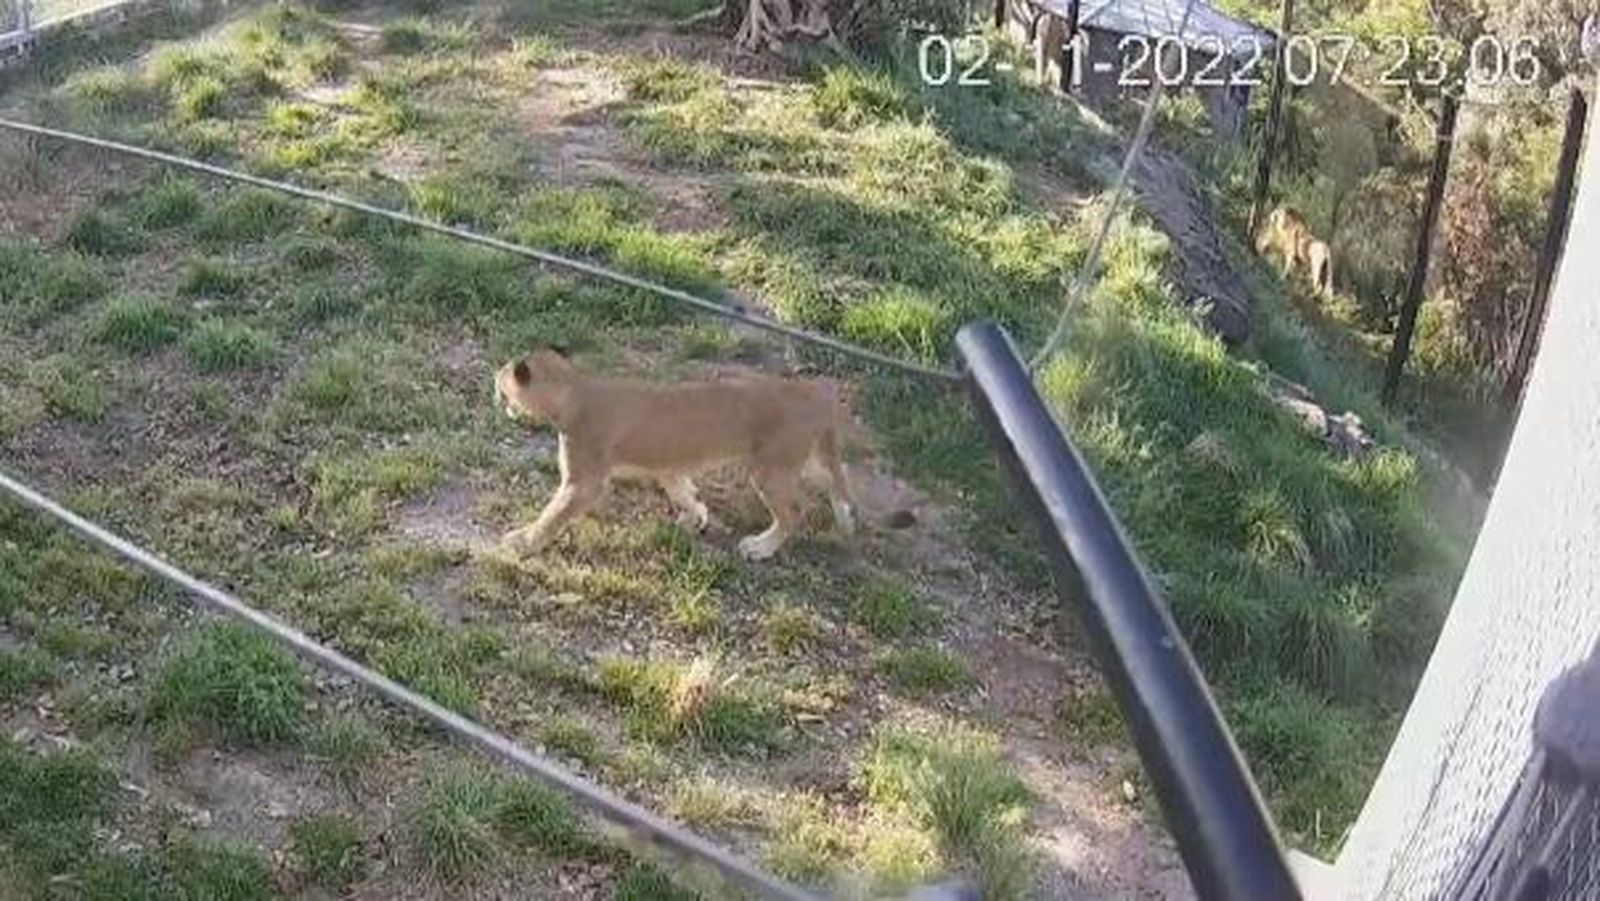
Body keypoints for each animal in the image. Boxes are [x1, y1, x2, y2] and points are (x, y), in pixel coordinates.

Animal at [493, 348, 857, 561]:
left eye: (501, 383)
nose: (494, 389)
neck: (575, 390)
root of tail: (814, 392)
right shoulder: (667, 467)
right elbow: (684, 492)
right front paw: (696, 517)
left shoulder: (583, 483)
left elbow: (553, 515)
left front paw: (522, 541)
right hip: (802, 459)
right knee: (836, 479)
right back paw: (847, 519)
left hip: (771, 470)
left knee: (795, 511)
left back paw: (760, 547)